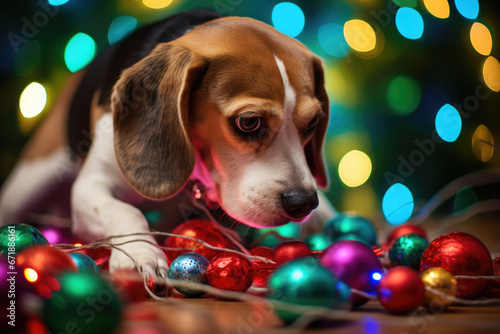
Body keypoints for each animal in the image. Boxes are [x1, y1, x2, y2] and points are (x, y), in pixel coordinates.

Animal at [0, 9, 336, 276]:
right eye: (249, 122)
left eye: (313, 123)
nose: (303, 202)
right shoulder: (89, 188)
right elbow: (126, 211)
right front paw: (141, 255)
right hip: (33, 177)